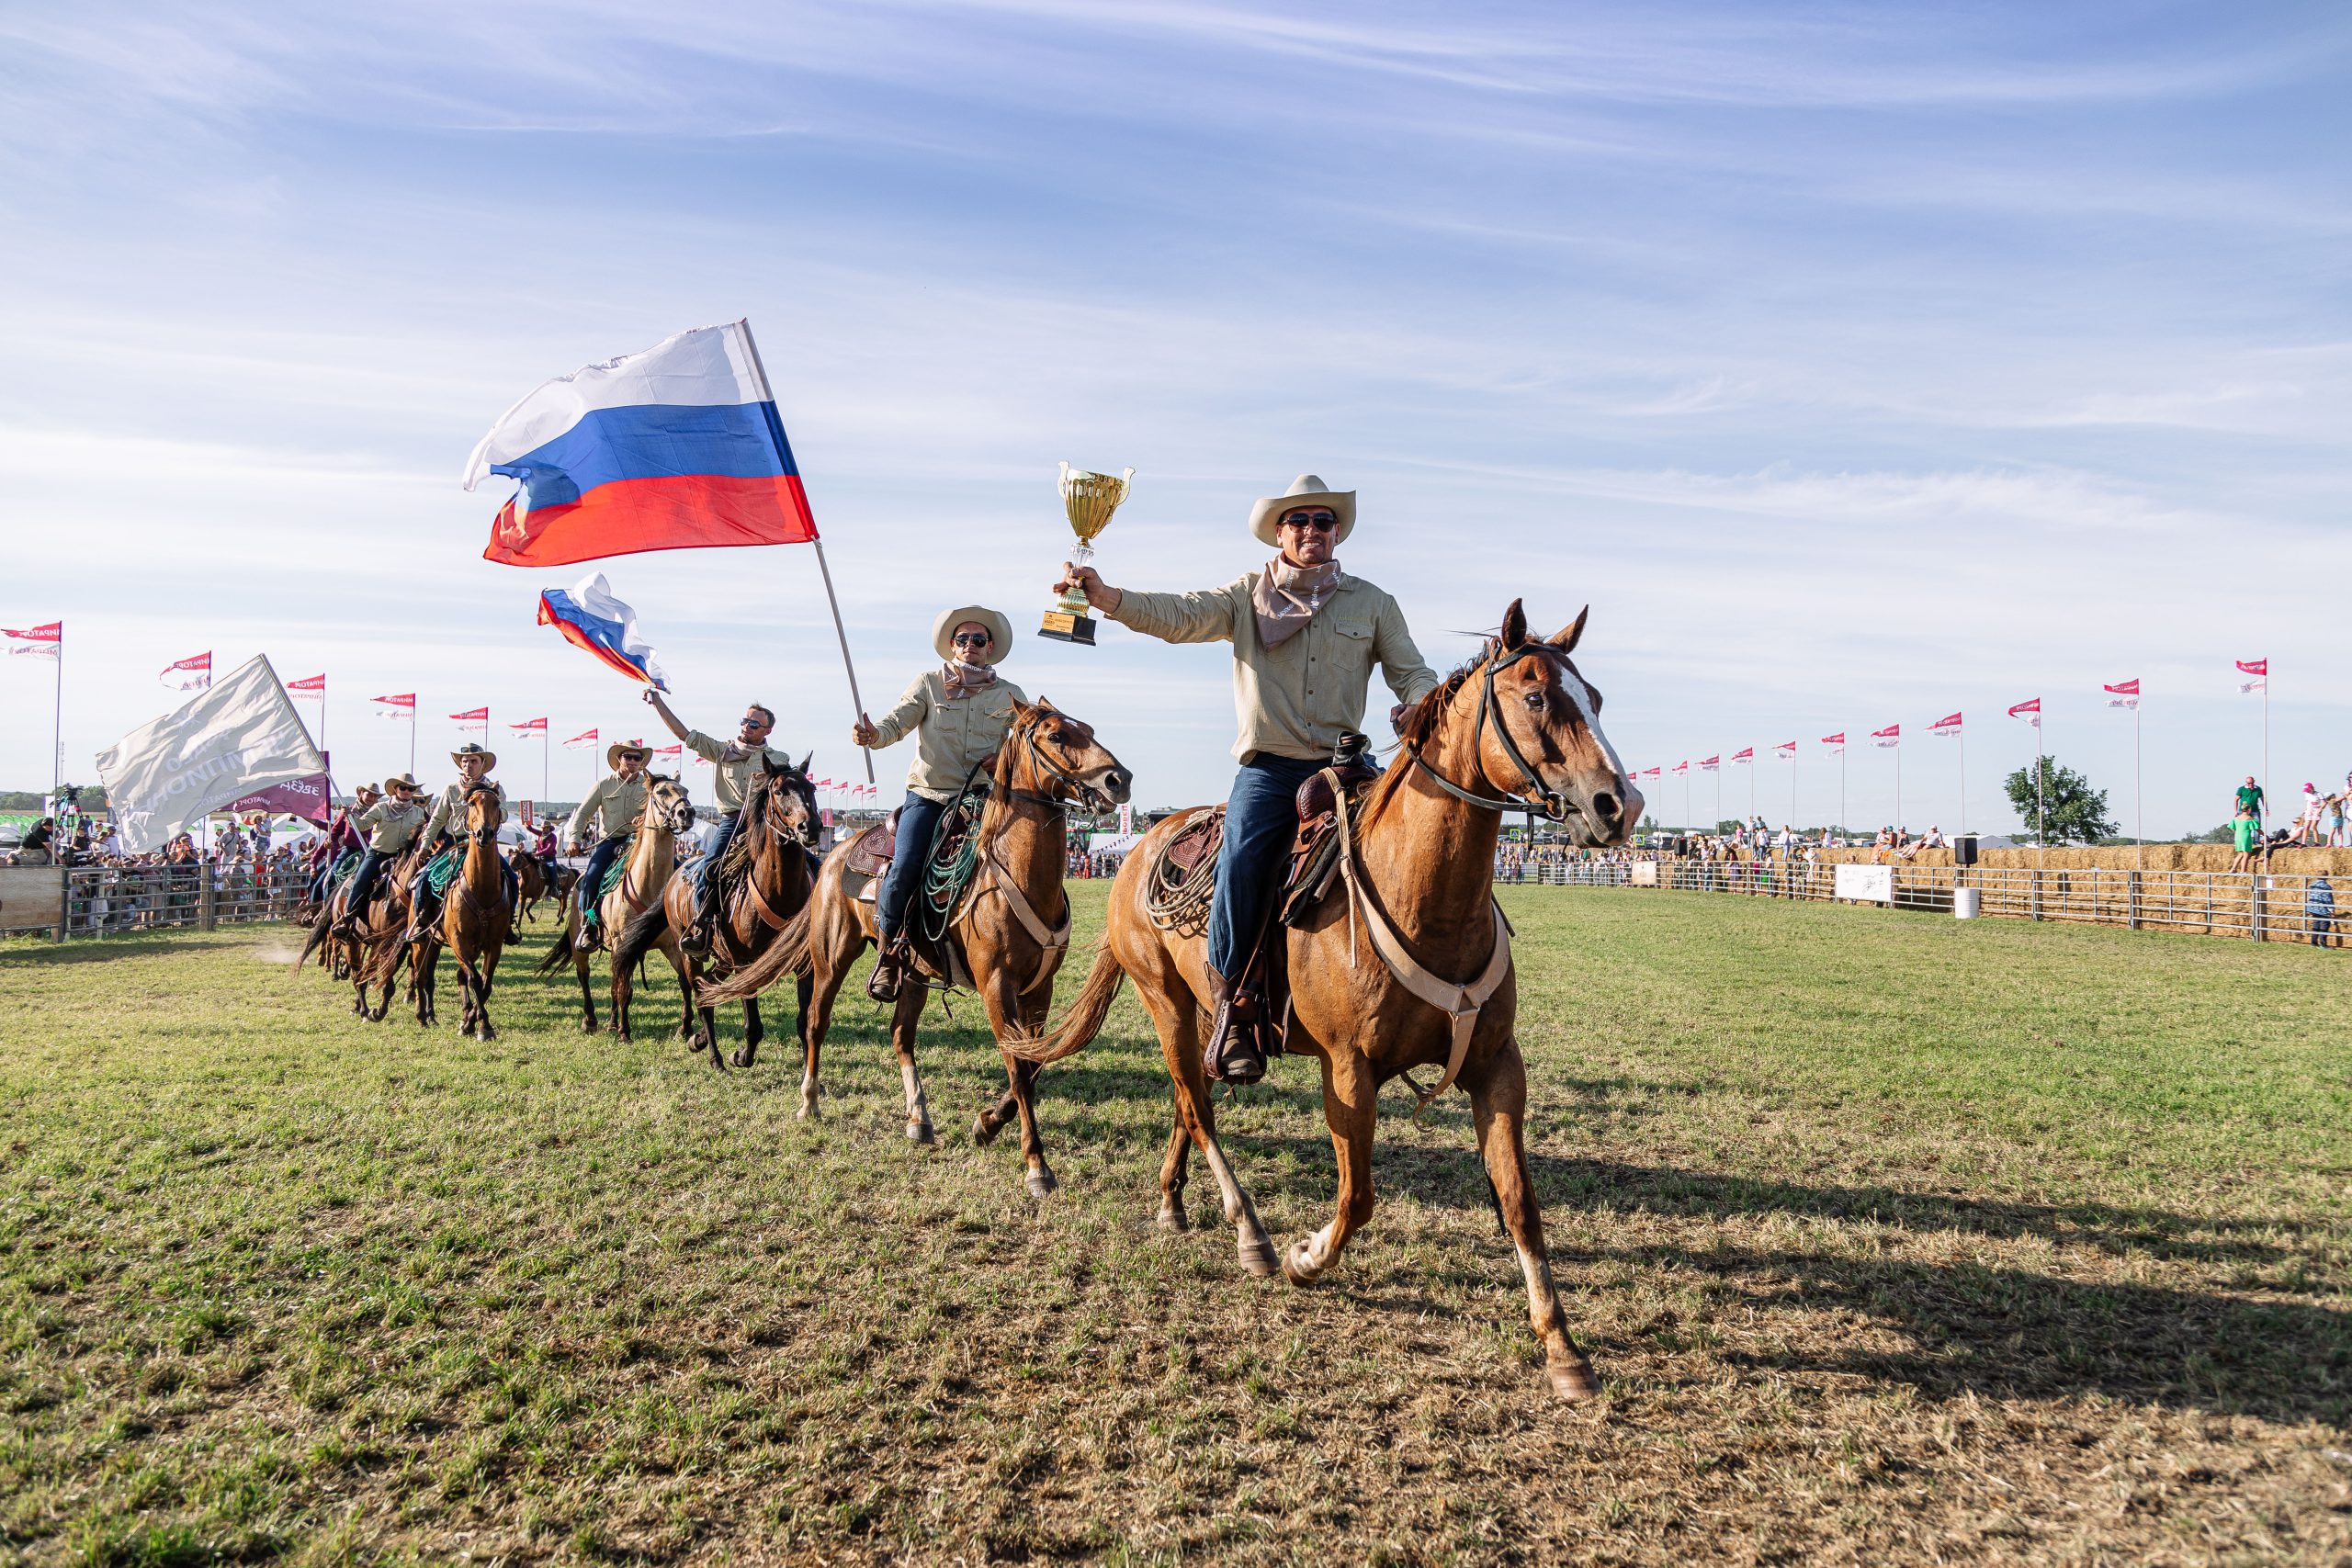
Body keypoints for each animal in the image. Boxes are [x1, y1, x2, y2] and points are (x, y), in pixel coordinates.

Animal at [416, 784, 513, 1043]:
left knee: (453, 976)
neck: (481, 888)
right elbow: (475, 979)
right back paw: (422, 1015)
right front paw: (481, 1025)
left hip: (441, 944)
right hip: (422, 942)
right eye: (471, 803)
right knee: (420, 974)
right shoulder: (459, 942)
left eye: (497, 804)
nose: (484, 834)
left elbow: (486, 983)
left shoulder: (494, 944)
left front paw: (473, 1022)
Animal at [538, 775, 695, 1043]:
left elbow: (684, 982)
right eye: (661, 792)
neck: (649, 886)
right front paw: (625, 1032)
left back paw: (611, 1022)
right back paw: (591, 1020)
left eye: (685, 790)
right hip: (579, 943)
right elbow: (626, 989)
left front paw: (684, 1028)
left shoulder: (671, 945)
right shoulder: (623, 944)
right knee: (585, 976)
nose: (687, 812)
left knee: (614, 982)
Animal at [611, 757, 823, 1072]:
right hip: (690, 954)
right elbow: (753, 1025)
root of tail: (675, 876)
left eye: (811, 787)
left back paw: (697, 1039)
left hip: (722, 958)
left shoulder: (804, 965)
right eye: (779, 791)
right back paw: (715, 1056)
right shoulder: (745, 963)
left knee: (710, 987)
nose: (811, 826)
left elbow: (803, 1021)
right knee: (702, 996)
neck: (778, 892)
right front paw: (741, 1056)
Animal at [700, 691, 1133, 1194]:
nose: (1119, 779)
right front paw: (1036, 1165)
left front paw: (987, 1124)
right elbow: (1019, 1068)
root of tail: (832, 856)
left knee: (900, 1035)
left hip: (912, 973)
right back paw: (810, 1102)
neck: (1016, 871)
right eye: (1056, 735)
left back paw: (919, 1118)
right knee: (815, 1024)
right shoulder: (997, 986)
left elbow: (1035, 1063)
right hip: (829, 960)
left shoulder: (1039, 988)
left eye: (1088, 729)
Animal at [1006, 597, 1636, 1401]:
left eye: (1596, 698)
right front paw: (1306, 1257)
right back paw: (1251, 1232)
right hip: (1165, 1000)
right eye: (1534, 697)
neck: (1420, 891)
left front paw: (1562, 1348)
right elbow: (1357, 1195)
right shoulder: (1349, 1070)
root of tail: (1142, 847)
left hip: (1205, 1013)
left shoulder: (1498, 1065)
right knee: (1198, 1107)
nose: (1619, 803)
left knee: (1187, 1099)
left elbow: (1521, 1202)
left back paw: (1174, 1201)